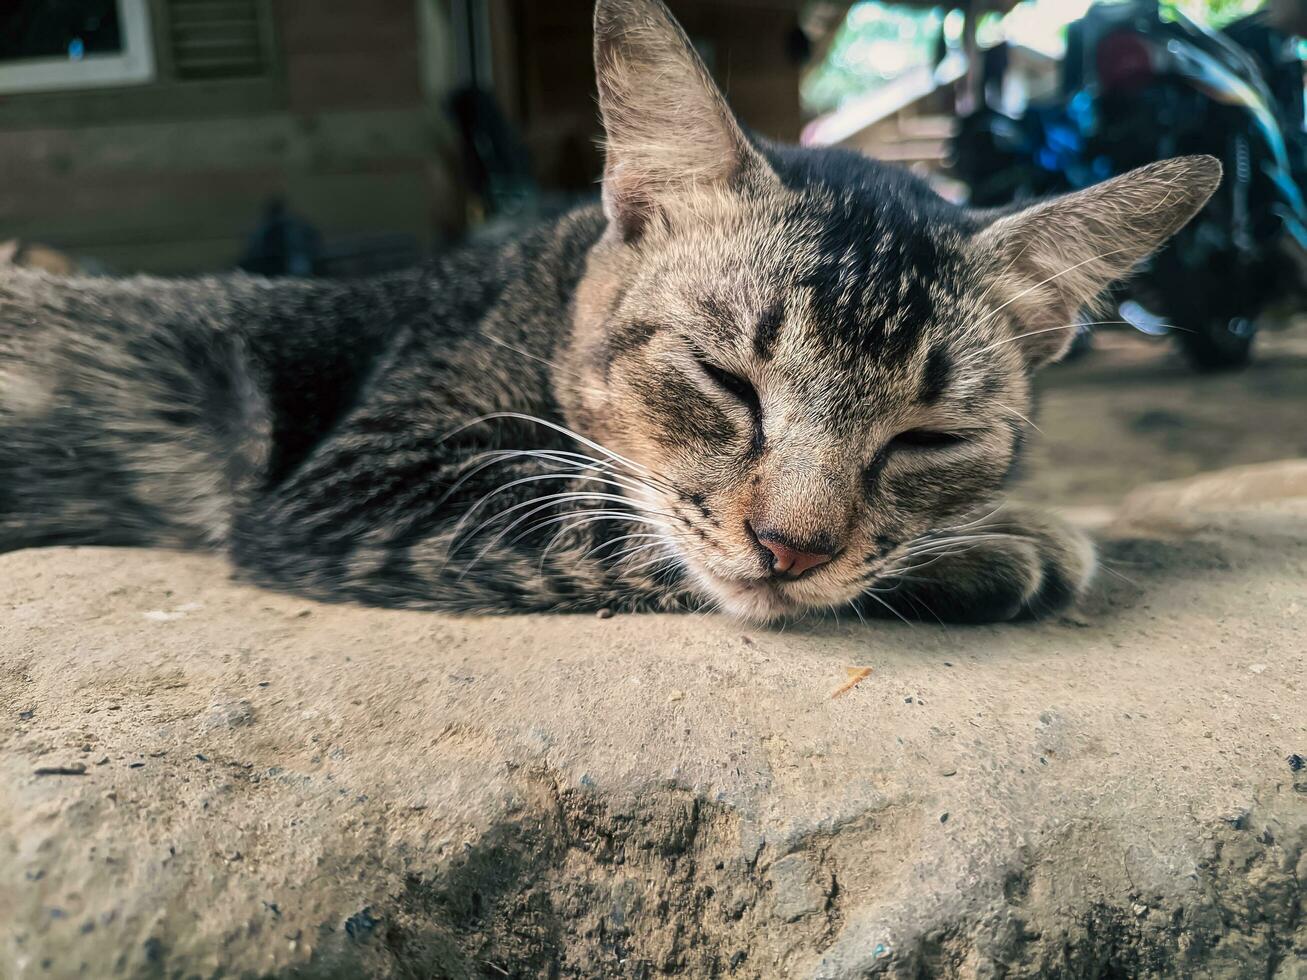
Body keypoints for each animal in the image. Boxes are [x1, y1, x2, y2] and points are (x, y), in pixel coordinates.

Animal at [0, 0, 1218, 624]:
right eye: (724, 380)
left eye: (928, 437)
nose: (790, 547)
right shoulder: (357, 481)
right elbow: (606, 519)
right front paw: (1009, 538)